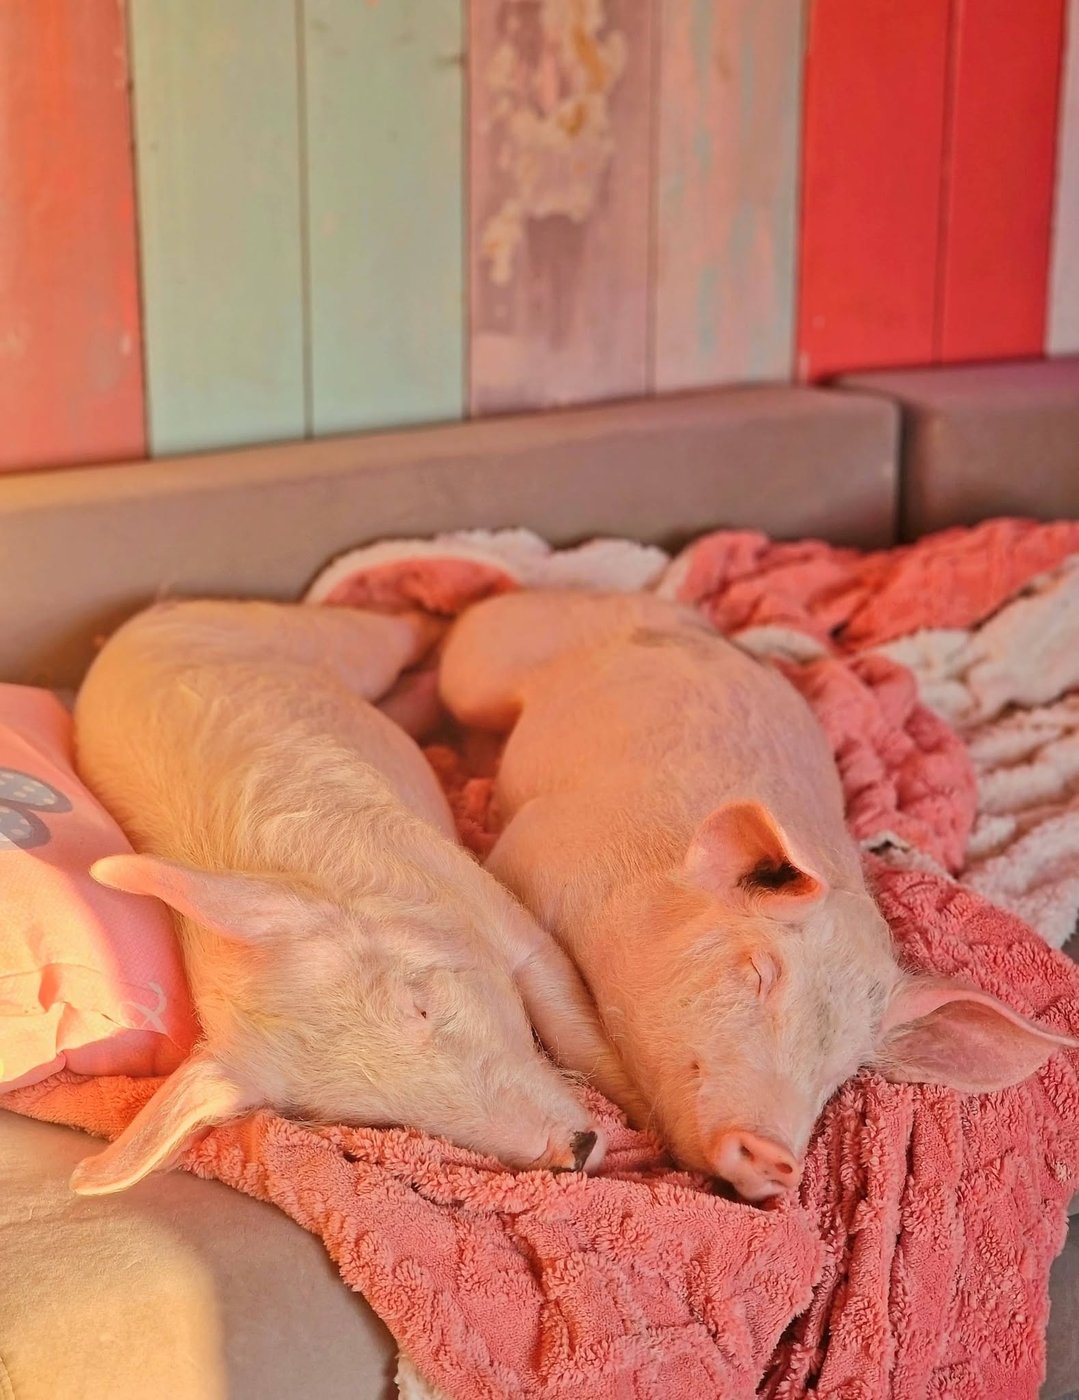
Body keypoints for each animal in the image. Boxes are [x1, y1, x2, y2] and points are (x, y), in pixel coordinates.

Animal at [70, 599, 646, 1196]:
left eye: (420, 1005)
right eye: (382, 1117)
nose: (576, 1151)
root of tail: (119, 639)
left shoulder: (487, 903)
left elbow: (575, 1026)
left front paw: (654, 1138)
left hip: (298, 631)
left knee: (382, 635)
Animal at [439, 590, 1077, 1203]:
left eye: (846, 1067)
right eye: (759, 971)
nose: (776, 1157)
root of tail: (677, 613)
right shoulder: (535, 847)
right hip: (488, 658)